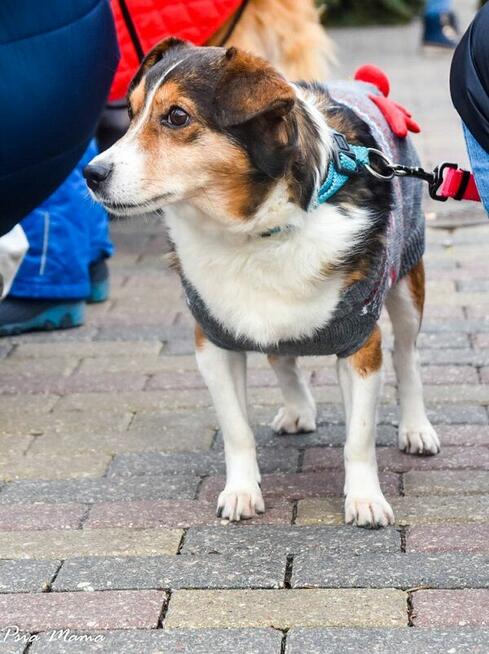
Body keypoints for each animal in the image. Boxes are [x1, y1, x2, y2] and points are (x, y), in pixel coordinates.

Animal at [86, 36, 440, 532]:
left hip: (407, 282)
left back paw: (415, 427)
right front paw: (241, 491)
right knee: (281, 355)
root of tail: (367, 84)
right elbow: (237, 430)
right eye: (132, 112)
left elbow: (359, 438)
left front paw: (365, 498)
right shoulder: (212, 341)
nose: (91, 174)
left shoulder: (360, 342)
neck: (253, 233)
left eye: (176, 117)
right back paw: (298, 409)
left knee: (407, 356)